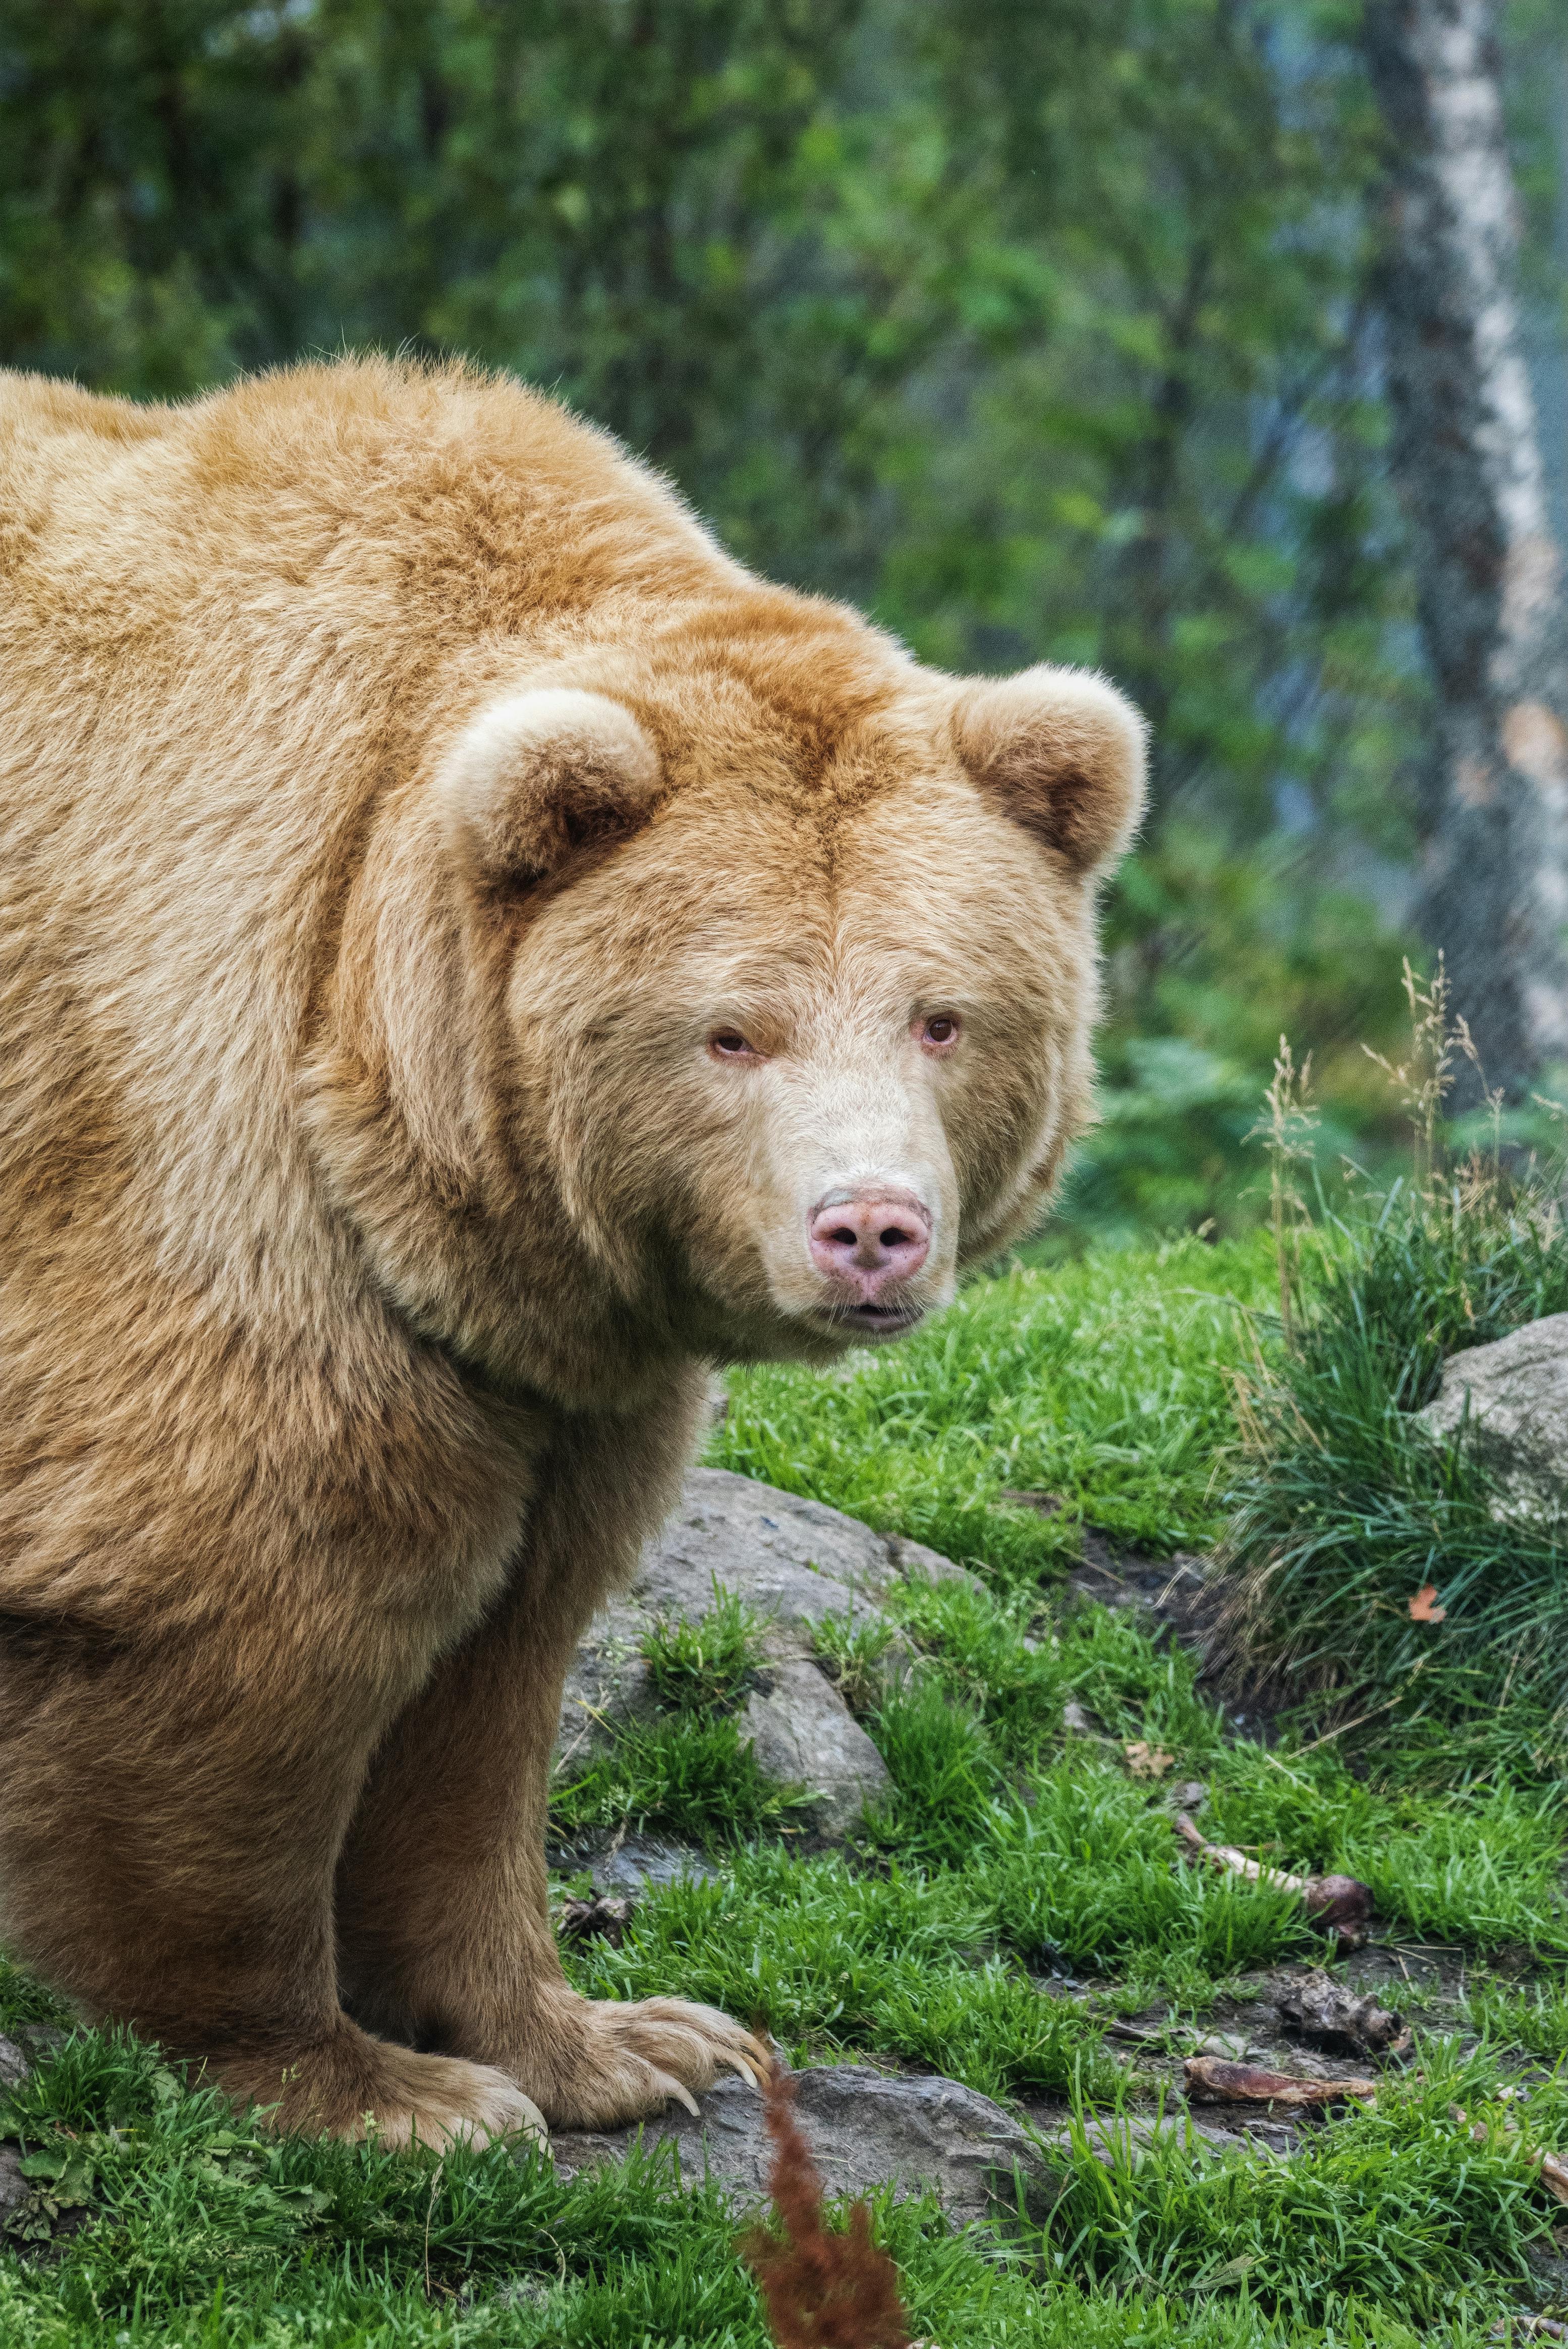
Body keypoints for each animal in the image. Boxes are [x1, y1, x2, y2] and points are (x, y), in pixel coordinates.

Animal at [0, 357, 1145, 2148]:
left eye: (942, 1014)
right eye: (732, 1029)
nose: (867, 1229)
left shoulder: (548, 1364)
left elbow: (502, 1660)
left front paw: (625, 2041)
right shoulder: (195, 1121)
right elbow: (248, 1587)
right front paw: (371, 2086)